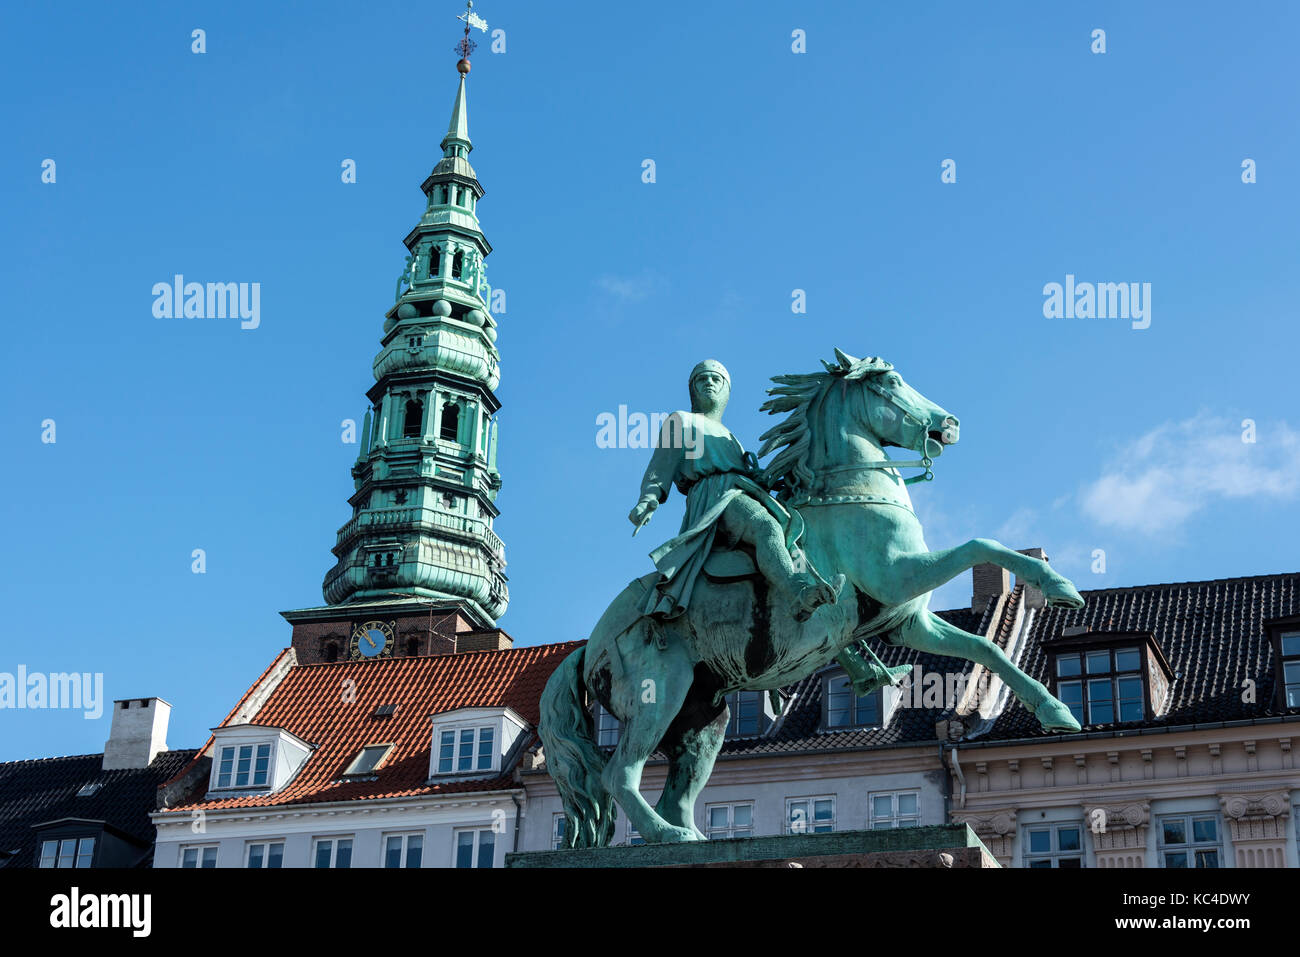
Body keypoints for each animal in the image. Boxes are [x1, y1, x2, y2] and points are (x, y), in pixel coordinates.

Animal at [538, 348, 1086, 842]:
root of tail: (589, 645)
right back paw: (667, 834)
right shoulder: (900, 577)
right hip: (659, 695)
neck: (851, 495)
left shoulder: (906, 621)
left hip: (703, 717)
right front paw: (1058, 584)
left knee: (677, 788)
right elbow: (980, 543)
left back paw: (689, 835)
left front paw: (1055, 711)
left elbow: (985, 647)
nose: (947, 424)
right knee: (619, 774)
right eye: (890, 382)